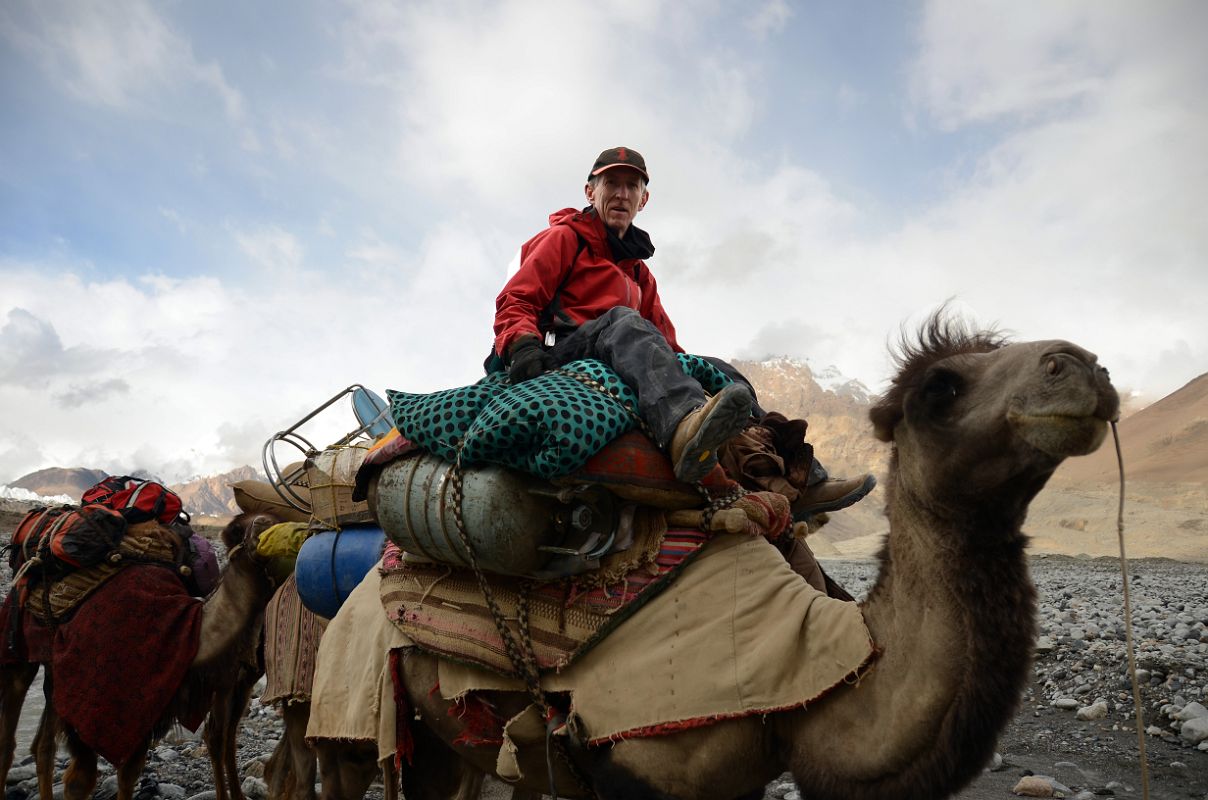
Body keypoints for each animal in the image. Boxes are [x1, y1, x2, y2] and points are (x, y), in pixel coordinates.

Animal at [0, 514, 277, 800]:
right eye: (240, 529)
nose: (265, 523)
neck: (190, 629)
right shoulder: (111, 699)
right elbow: (84, 780)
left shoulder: (148, 705)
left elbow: (127, 773)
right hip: (18, 654)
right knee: (9, 743)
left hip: (54, 673)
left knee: (42, 746)